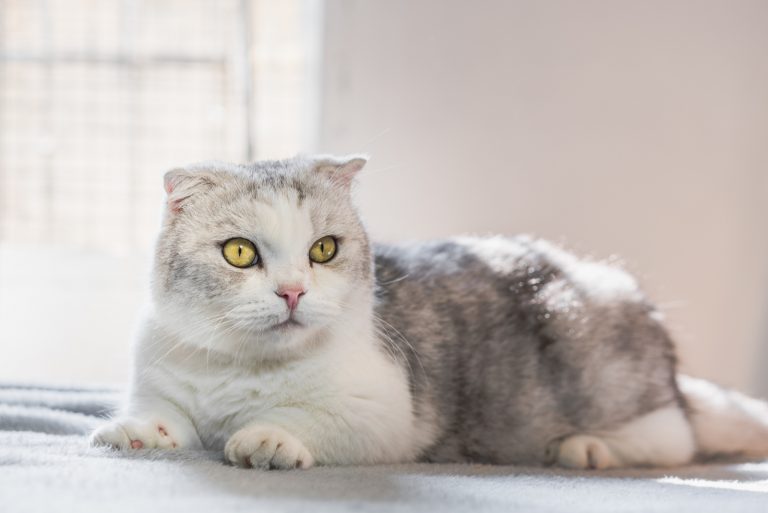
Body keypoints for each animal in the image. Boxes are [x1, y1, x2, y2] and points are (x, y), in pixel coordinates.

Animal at [91, 153, 768, 468]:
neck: (242, 370)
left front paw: (268, 438)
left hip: (599, 376)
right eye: (239, 253)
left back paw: (585, 449)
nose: (292, 292)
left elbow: (306, 419)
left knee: (675, 437)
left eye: (323, 249)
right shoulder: (161, 381)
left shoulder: (383, 412)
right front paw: (132, 432)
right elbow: (167, 419)